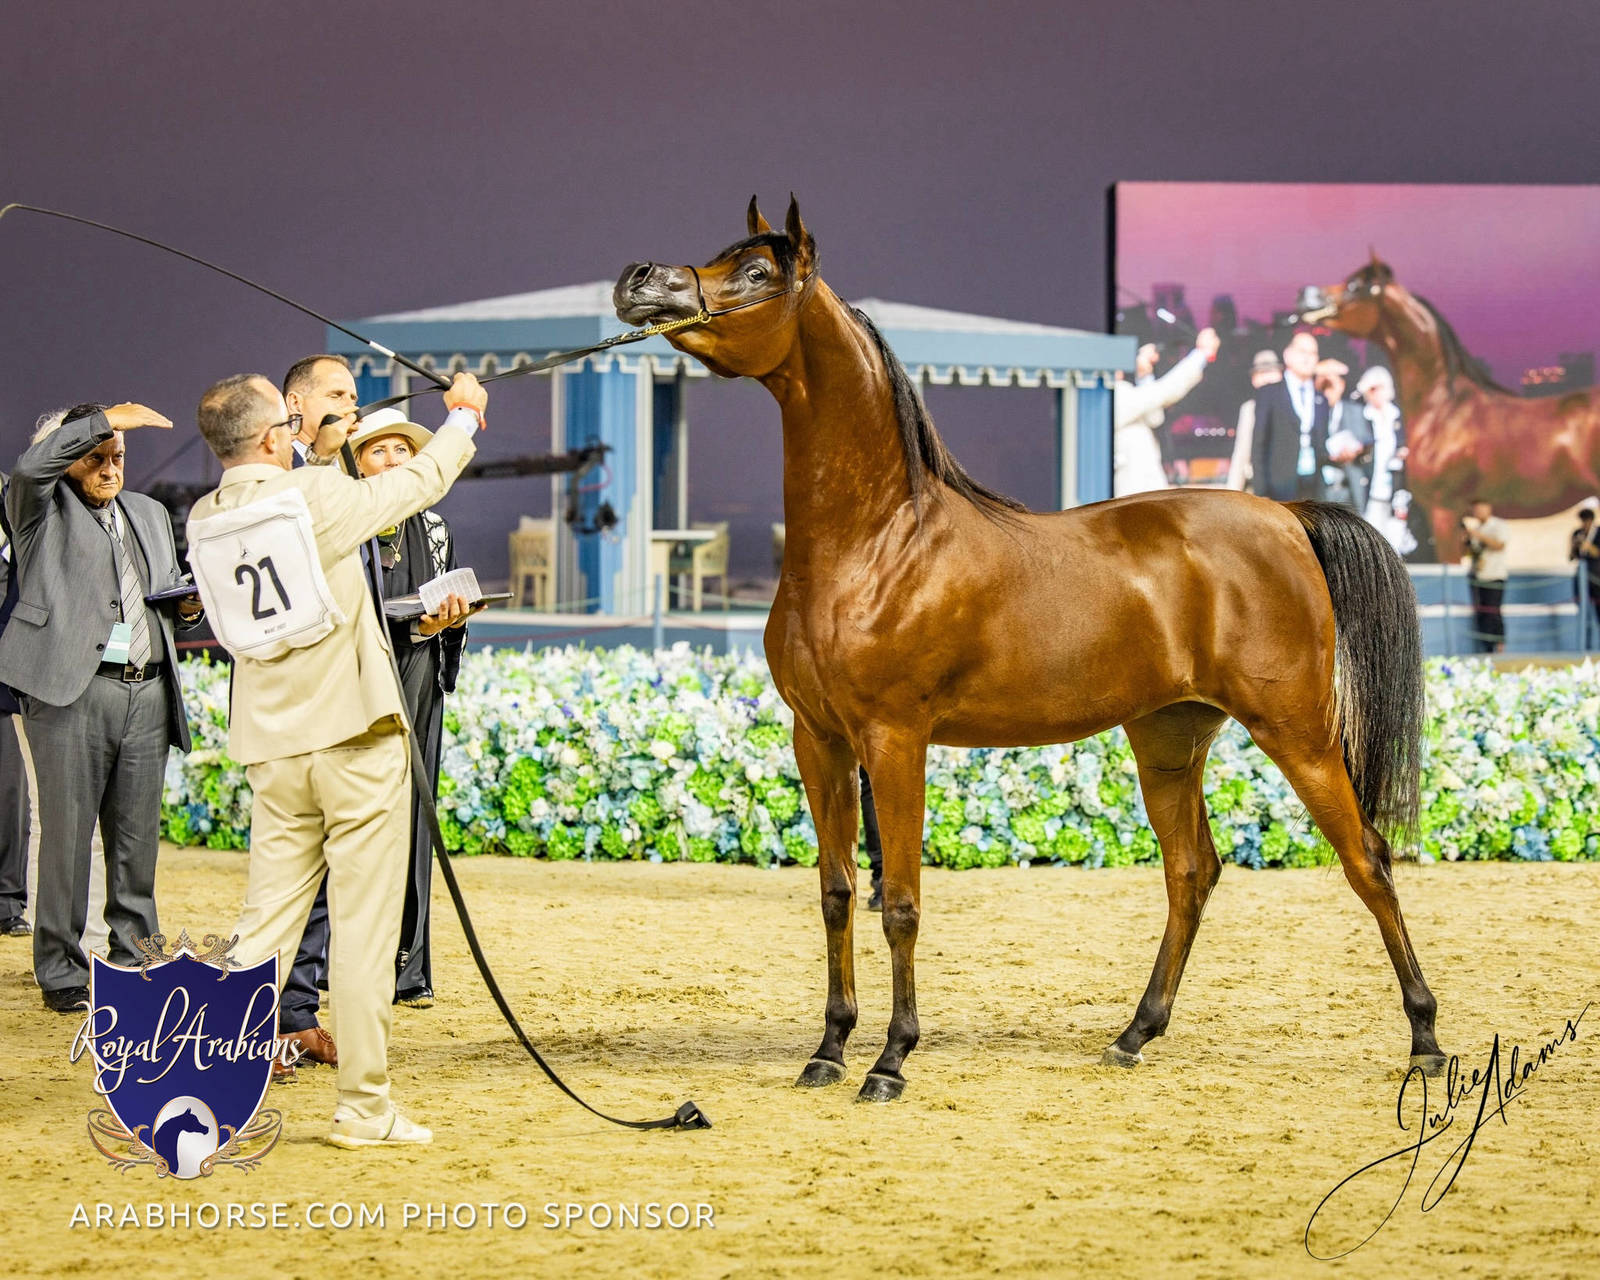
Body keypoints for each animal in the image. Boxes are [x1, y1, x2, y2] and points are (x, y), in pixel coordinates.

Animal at [614, 197, 1445, 1102]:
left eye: (760, 272)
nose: (639, 279)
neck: (878, 541)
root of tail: (1288, 517)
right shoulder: (821, 738)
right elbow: (837, 892)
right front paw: (829, 1048)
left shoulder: (895, 739)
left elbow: (900, 900)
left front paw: (891, 1060)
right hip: (1169, 737)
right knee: (1192, 873)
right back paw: (1133, 1034)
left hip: (1296, 731)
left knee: (1368, 860)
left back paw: (1425, 1040)